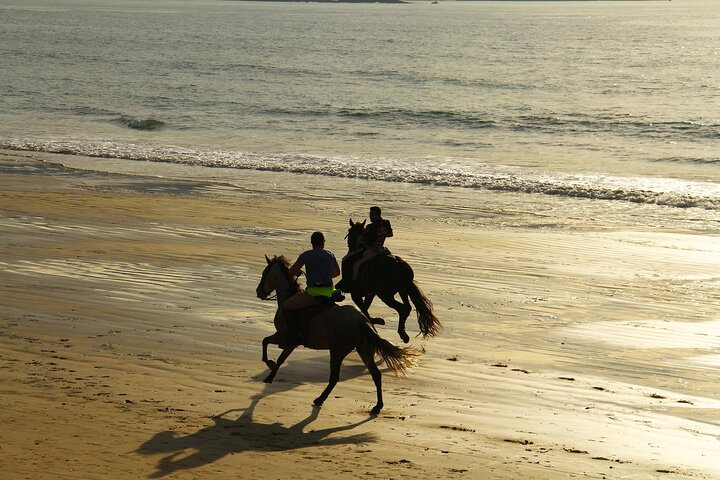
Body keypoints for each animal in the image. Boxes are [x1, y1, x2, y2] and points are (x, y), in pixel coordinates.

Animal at [256, 255, 420, 416]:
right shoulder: (288, 341)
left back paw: (320, 399)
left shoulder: (285, 337)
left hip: (337, 351)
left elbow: (268, 345)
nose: (259, 292)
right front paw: (270, 371)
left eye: (264, 273)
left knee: (335, 377)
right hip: (364, 350)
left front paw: (269, 367)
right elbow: (275, 352)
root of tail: (362, 321)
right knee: (376, 375)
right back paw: (377, 406)